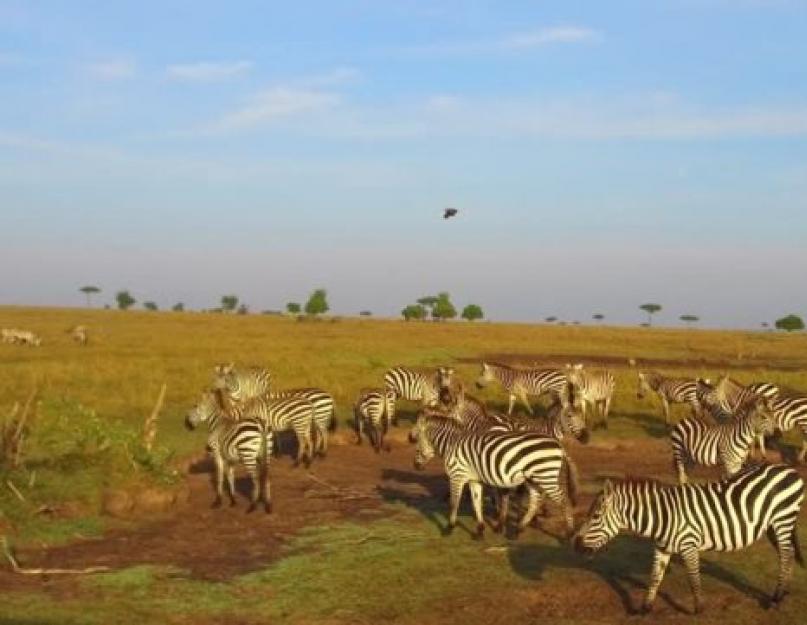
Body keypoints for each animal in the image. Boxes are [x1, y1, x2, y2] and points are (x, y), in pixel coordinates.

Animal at [408, 410, 576, 536]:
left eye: (417, 443)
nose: (415, 466)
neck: (452, 443)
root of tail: (559, 445)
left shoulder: (457, 475)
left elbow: (454, 502)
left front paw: (449, 527)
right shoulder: (474, 479)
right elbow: (477, 502)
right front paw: (480, 529)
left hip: (545, 476)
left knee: (563, 500)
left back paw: (569, 532)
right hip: (535, 478)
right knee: (535, 500)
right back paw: (519, 529)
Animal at [572, 464, 804, 616]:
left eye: (595, 516)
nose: (575, 545)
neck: (663, 516)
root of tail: (789, 470)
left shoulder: (689, 545)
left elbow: (693, 578)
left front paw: (699, 608)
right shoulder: (662, 547)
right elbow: (655, 577)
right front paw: (645, 608)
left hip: (782, 519)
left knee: (785, 555)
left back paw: (775, 599)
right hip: (773, 526)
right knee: (788, 554)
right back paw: (783, 592)